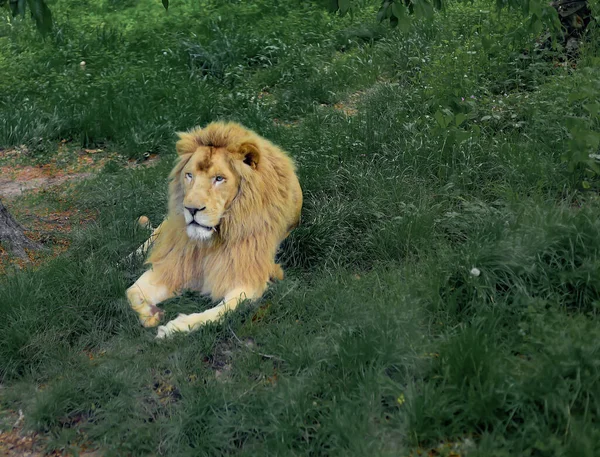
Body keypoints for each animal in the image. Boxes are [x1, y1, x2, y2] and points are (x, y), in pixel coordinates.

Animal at [128, 121, 302, 338]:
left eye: (219, 179)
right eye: (189, 175)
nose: (191, 209)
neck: (211, 240)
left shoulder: (249, 276)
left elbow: (221, 311)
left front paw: (174, 328)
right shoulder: (176, 263)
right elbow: (132, 292)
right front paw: (151, 314)